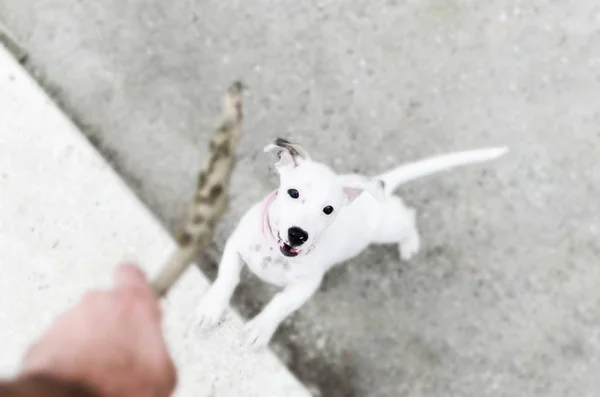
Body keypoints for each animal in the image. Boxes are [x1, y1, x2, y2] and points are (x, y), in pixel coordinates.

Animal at [193, 138, 506, 346]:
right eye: (293, 192)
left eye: (328, 209)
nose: (298, 235)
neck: (277, 254)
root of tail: (375, 186)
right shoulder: (236, 245)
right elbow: (227, 276)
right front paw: (211, 308)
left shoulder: (305, 286)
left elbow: (280, 304)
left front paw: (261, 328)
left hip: (386, 228)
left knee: (408, 217)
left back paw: (409, 244)